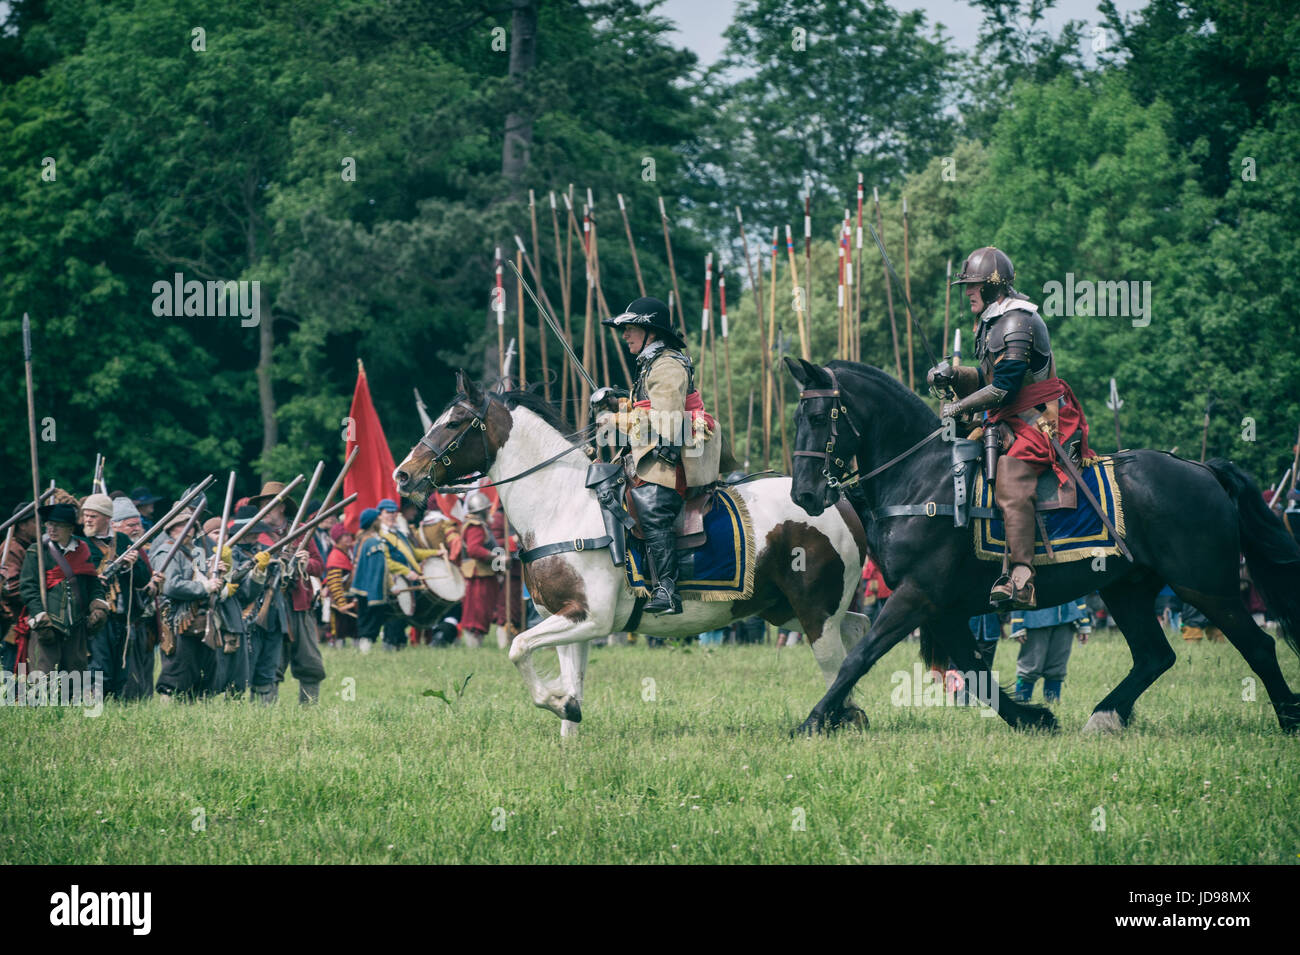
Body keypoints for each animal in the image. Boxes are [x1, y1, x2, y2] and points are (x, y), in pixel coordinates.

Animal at [397, 374, 873, 738]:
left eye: (454, 422)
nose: (403, 475)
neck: (561, 504)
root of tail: (836, 499)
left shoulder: (589, 618)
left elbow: (518, 648)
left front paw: (555, 702)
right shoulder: (568, 619)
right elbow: (571, 681)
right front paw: (568, 723)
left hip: (814, 612)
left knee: (834, 662)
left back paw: (835, 720)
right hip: (784, 610)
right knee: (857, 629)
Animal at [785, 358, 1300, 738]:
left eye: (818, 417)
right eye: (796, 419)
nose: (805, 494)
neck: (921, 477)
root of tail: (1203, 470)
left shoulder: (917, 596)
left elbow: (859, 656)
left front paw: (812, 721)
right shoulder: (944, 608)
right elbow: (975, 670)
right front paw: (1033, 717)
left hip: (1205, 587)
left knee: (1258, 645)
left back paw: (1288, 718)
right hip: (1126, 590)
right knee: (1155, 655)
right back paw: (1105, 715)